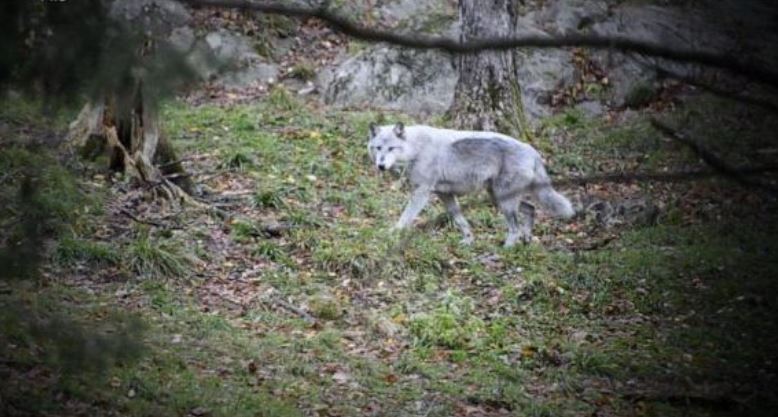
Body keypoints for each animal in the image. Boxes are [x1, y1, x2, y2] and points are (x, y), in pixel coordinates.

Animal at [366, 122, 572, 245]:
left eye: (391, 148)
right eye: (378, 148)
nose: (381, 166)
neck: (416, 149)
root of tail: (532, 150)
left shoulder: (421, 193)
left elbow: (405, 218)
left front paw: (392, 234)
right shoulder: (445, 195)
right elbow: (459, 219)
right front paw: (468, 240)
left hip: (503, 202)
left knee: (515, 228)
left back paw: (507, 248)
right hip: (497, 198)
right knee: (531, 209)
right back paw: (527, 239)